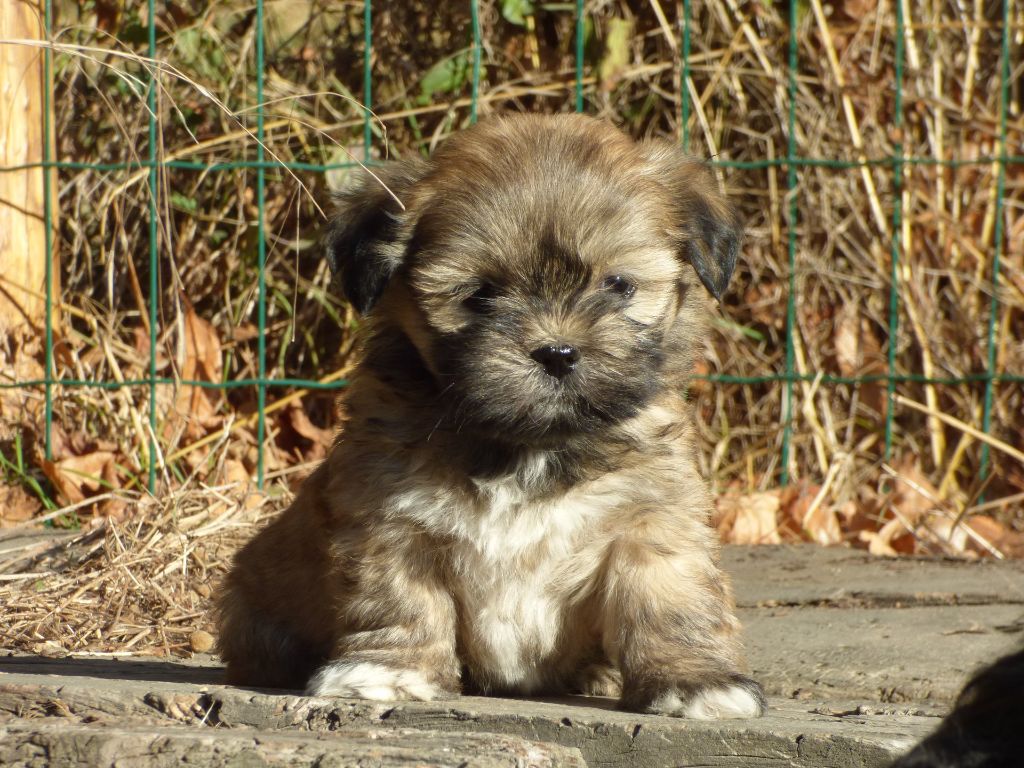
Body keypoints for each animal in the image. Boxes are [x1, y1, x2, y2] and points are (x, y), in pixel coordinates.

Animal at [216, 112, 765, 720]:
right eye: (480, 294)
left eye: (618, 285)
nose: (557, 352)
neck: (528, 447)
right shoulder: (390, 520)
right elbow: (398, 596)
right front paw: (388, 671)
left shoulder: (651, 519)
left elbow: (670, 597)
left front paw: (695, 681)